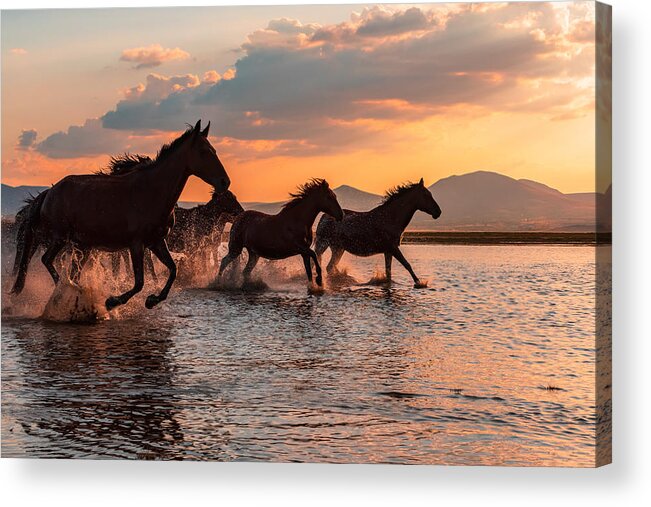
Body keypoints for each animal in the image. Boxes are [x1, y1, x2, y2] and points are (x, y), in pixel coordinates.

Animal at [10, 120, 232, 310]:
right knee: (47, 260)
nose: (225, 182)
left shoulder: (157, 242)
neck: (151, 192)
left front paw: (152, 300)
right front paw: (112, 301)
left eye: (214, 150)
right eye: (204, 151)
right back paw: (69, 291)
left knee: (71, 271)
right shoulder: (136, 244)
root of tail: (49, 192)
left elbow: (172, 270)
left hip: (82, 245)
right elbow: (139, 282)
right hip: (60, 238)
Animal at [314, 181, 444, 288]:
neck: (391, 218)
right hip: (324, 244)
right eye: (426, 195)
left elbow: (389, 272)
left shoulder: (388, 251)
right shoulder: (393, 248)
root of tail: (324, 216)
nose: (438, 212)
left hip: (338, 248)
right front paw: (419, 283)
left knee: (330, 267)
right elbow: (407, 265)